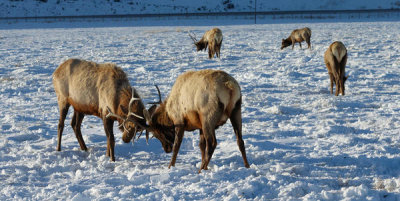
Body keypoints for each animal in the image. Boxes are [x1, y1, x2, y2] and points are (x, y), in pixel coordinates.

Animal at [109, 69, 250, 173]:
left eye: (157, 133)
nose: (166, 149)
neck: (169, 114)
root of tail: (230, 87)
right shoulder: (199, 125)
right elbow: (201, 145)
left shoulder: (180, 121)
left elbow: (177, 145)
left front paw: (170, 165)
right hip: (236, 110)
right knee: (240, 140)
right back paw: (247, 166)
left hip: (208, 116)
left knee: (212, 143)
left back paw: (201, 170)